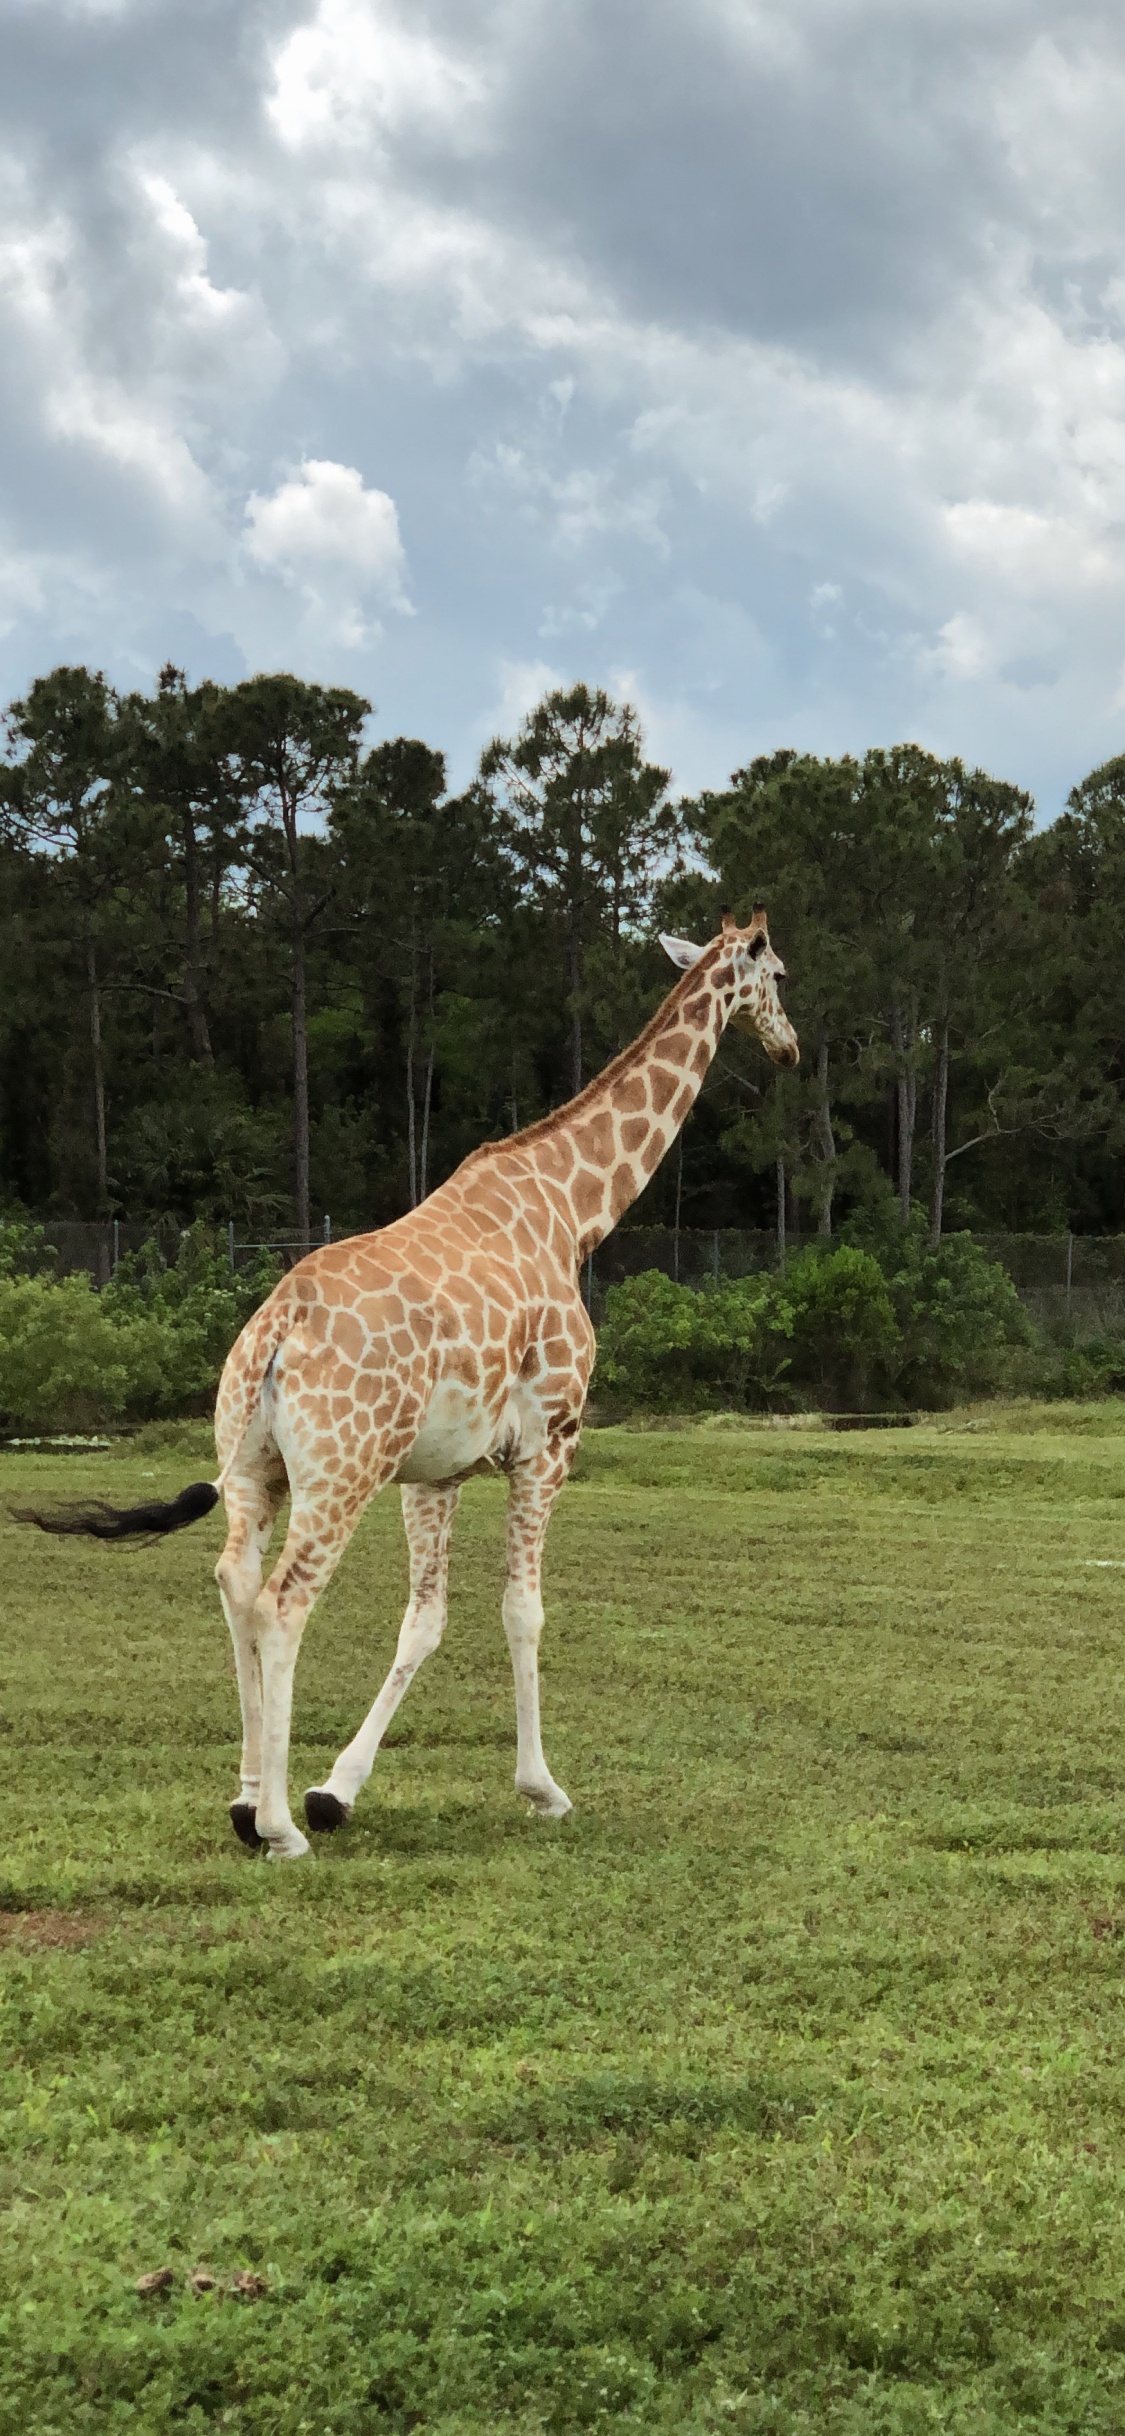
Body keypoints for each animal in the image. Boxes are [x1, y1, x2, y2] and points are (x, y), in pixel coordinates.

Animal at [17, 906, 788, 1851]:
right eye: (779, 977)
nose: (789, 1048)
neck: (573, 1213)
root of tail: (276, 1331)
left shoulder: (435, 1471)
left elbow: (424, 1621)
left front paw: (337, 1788)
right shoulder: (549, 1443)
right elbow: (521, 1610)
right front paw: (540, 1788)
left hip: (257, 1464)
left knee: (235, 1580)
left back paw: (246, 1798)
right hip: (341, 1472)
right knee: (281, 1603)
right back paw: (279, 1828)